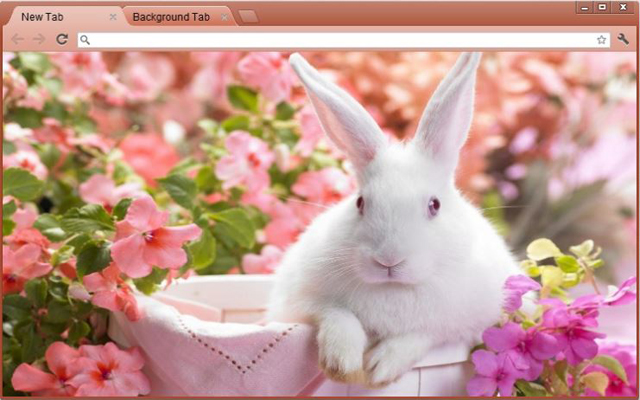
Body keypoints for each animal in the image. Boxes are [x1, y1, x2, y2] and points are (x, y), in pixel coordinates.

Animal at [266, 52, 522, 387]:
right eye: (360, 203)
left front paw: (380, 367)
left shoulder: (467, 321)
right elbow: (336, 315)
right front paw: (343, 364)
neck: (393, 289)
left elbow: (423, 334)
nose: (388, 260)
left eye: (434, 205)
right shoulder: (299, 301)